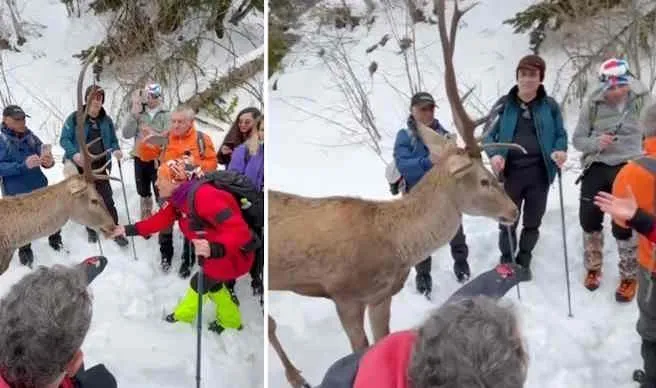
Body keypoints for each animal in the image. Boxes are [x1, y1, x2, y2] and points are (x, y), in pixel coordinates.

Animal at [266, 1, 524, 386]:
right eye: (483, 180)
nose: (513, 211)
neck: (393, 244)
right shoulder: (344, 294)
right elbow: (359, 349)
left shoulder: (381, 295)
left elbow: (381, 339)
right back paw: (296, 376)